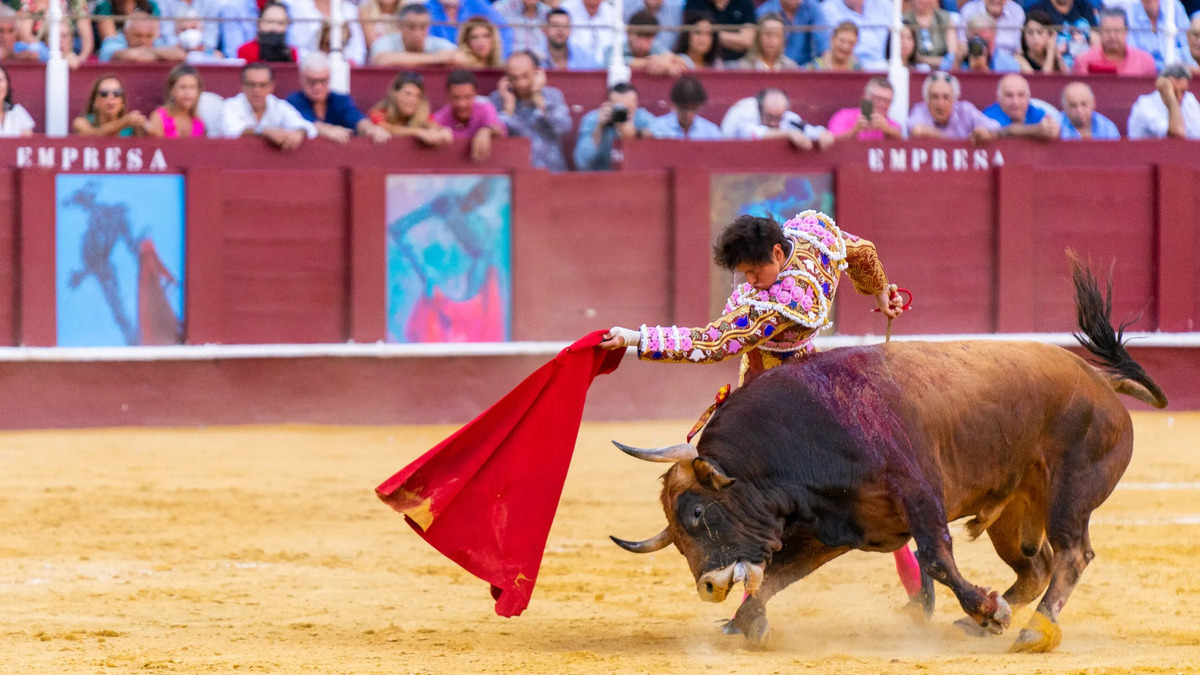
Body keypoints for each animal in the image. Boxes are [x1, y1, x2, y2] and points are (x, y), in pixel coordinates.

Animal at [609, 254, 1161, 648]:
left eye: (698, 513)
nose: (708, 586)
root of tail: (1100, 381)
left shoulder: (920, 495)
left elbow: (935, 558)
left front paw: (988, 611)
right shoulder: (834, 528)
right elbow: (780, 575)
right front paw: (744, 622)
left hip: (1072, 492)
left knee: (1072, 554)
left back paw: (1031, 630)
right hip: (1014, 512)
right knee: (1036, 565)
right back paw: (987, 622)